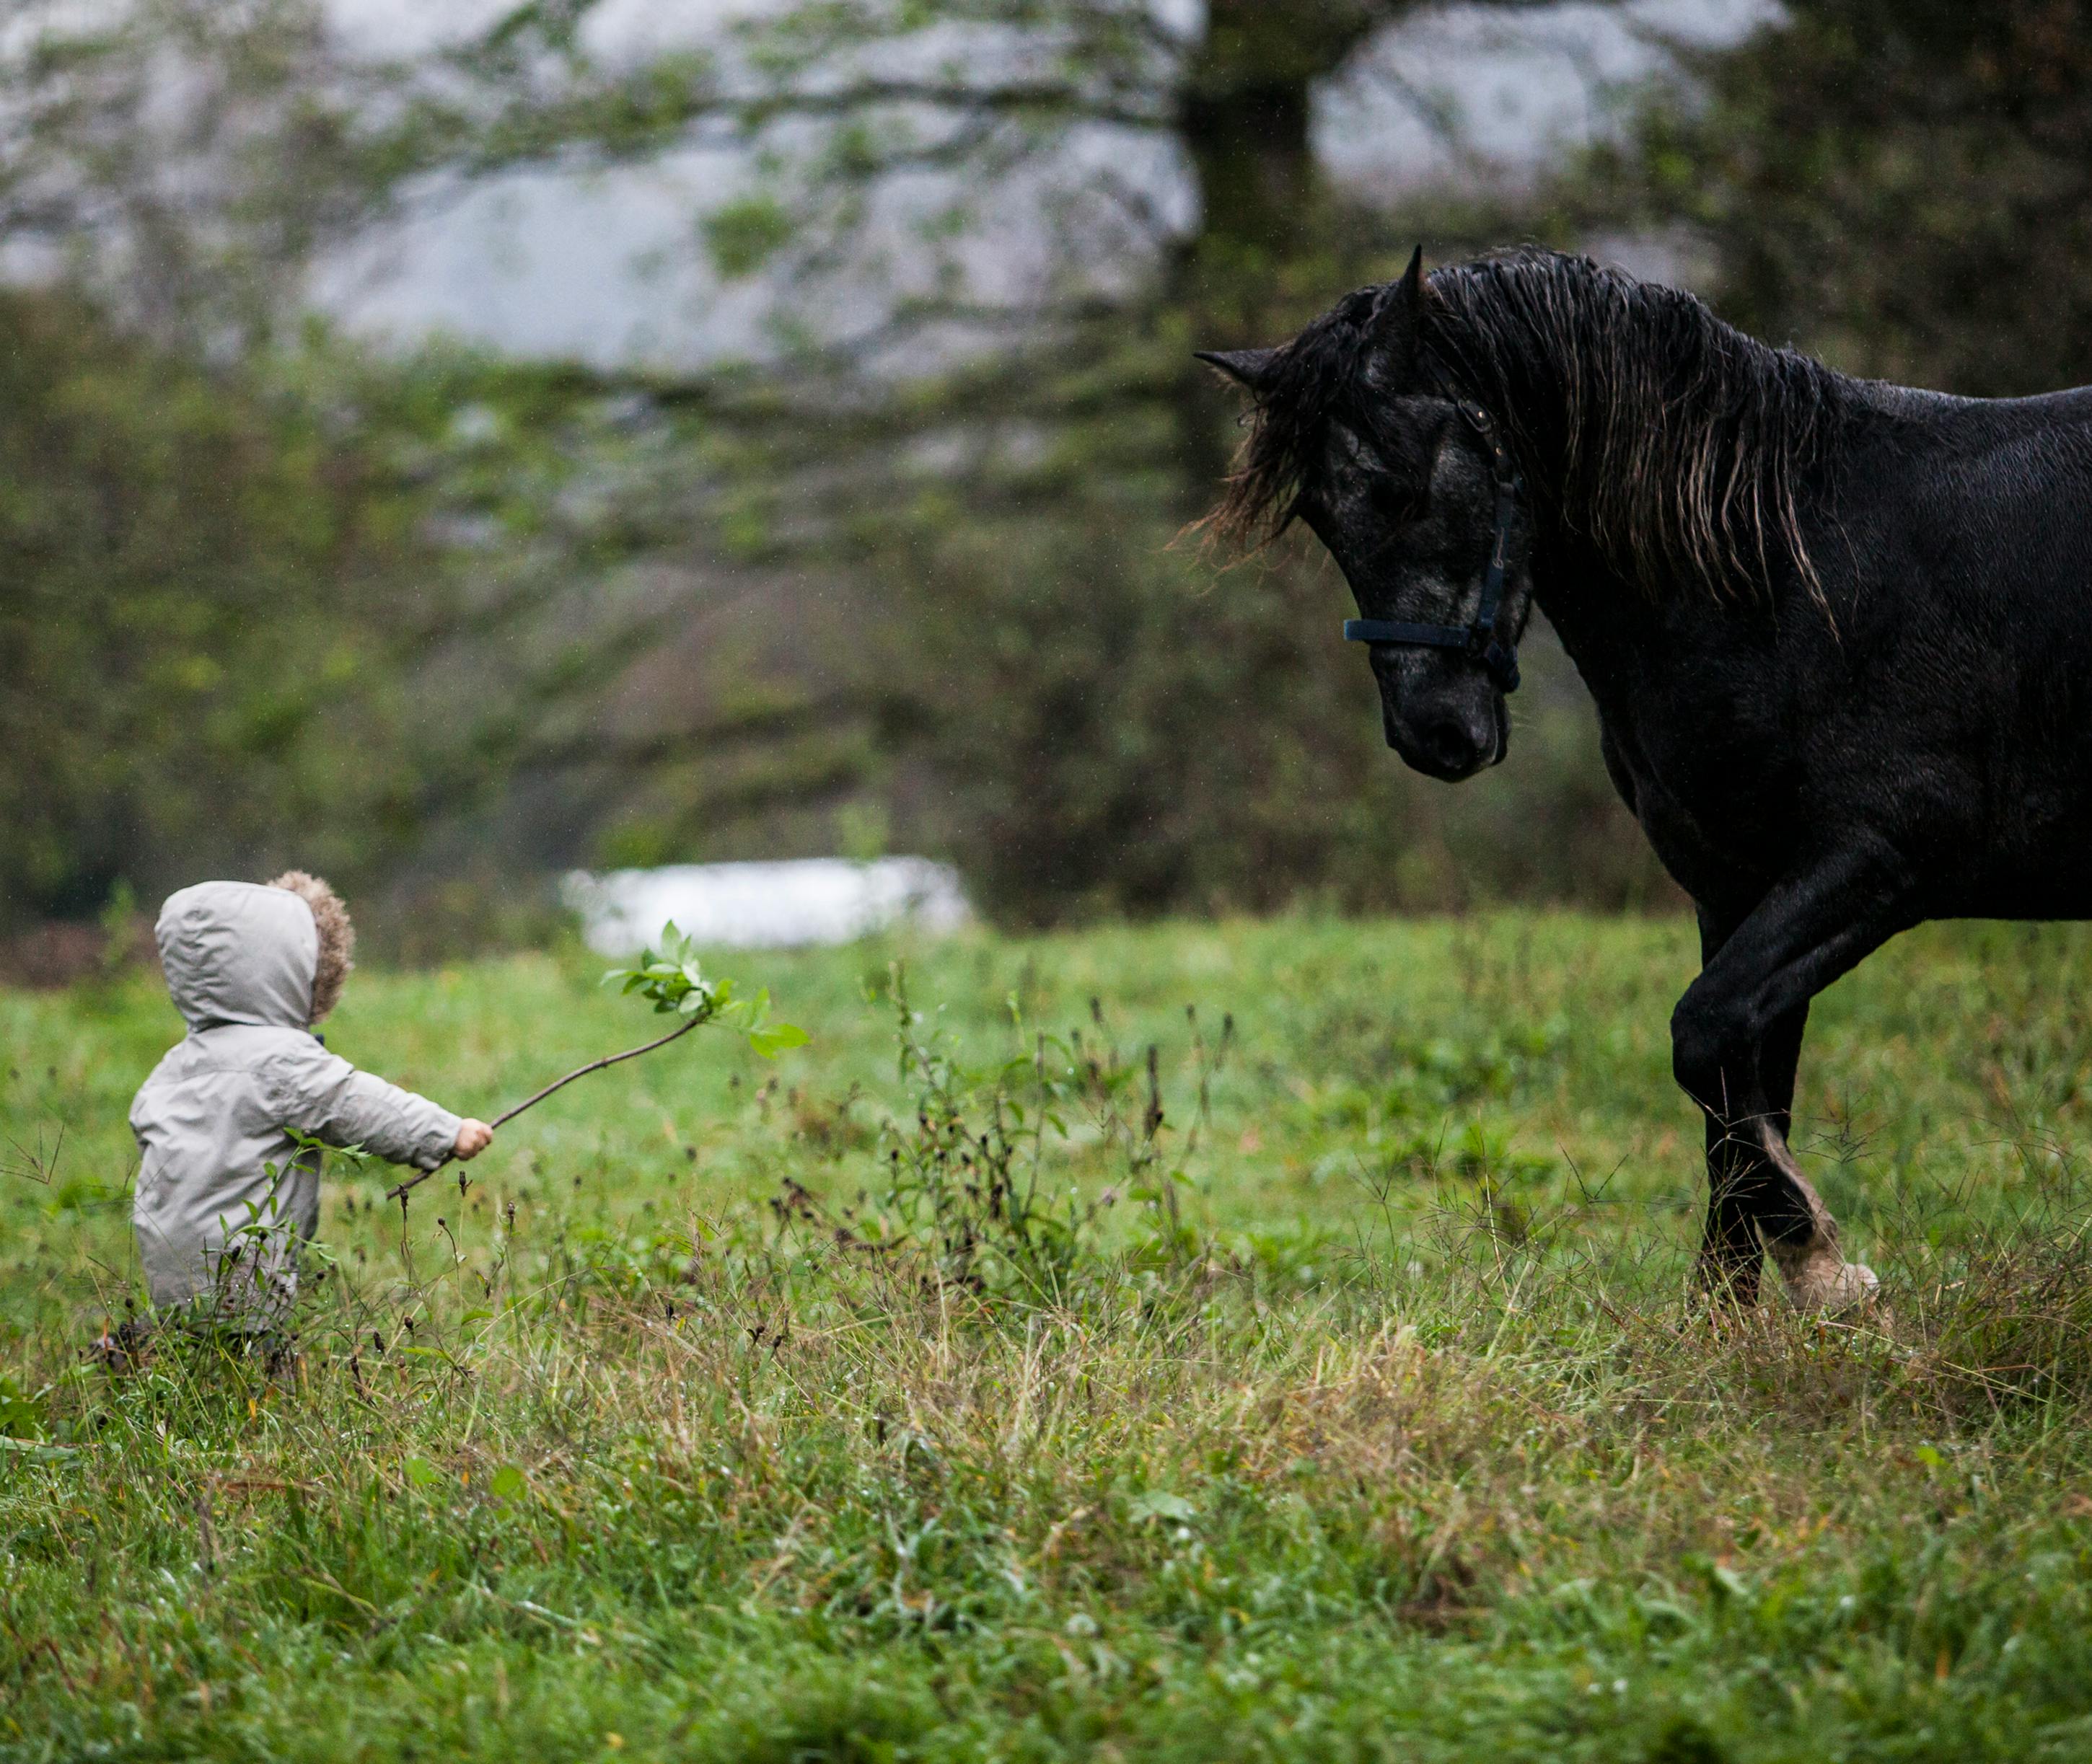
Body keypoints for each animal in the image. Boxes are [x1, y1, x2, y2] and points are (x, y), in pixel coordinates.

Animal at [1205, 247, 2092, 1314]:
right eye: (1318, 514)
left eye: (1409, 485)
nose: (1434, 733)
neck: (1791, 574)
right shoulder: (1735, 887)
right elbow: (1733, 1093)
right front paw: (1729, 1317)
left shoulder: (1883, 857)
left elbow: (1704, 1036)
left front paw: (1821, 1261)